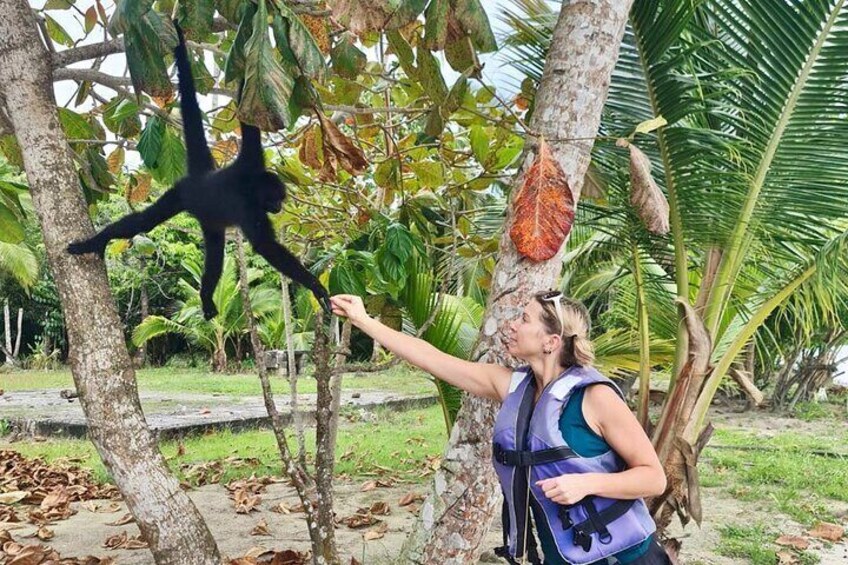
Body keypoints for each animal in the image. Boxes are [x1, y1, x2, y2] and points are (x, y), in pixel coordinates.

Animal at [68, 20, 332, 322]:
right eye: (275, 199)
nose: (277, 207)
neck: (249, 183)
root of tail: (201, 177)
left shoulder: (252, 159)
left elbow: (249, 125)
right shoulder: (248, 207)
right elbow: (265, 246)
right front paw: (315, 286)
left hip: (208, 218)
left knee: (215, 252)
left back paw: (205, 297)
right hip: (181, 193)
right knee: (144, 222)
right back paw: (95, 242)